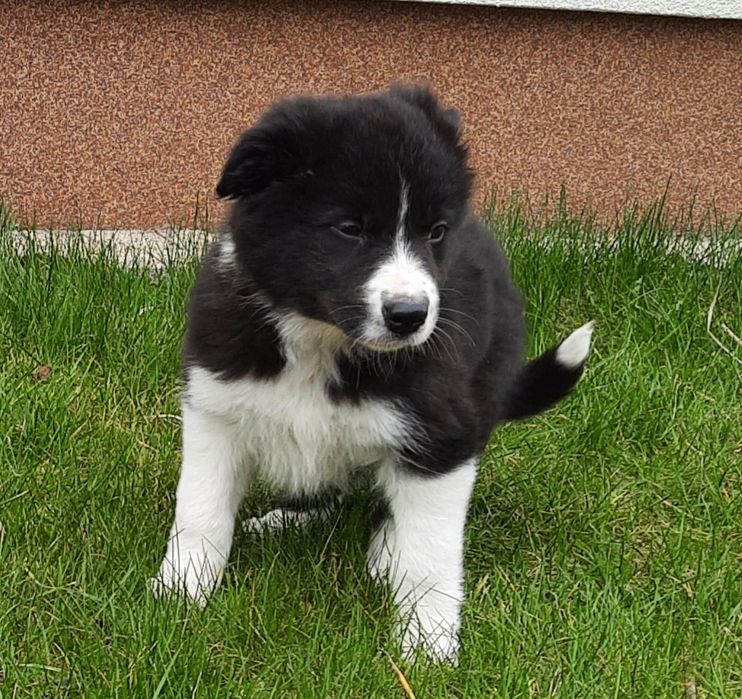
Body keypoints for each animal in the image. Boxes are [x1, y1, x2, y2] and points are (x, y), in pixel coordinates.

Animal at [154, 85, 596, 664]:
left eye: (435, 232)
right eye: (349, 229)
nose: (410, 315)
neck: (323, 341)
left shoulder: (443, 431)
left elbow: (431, 553)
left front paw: (427, 647)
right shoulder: (215, 406)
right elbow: (200, 509)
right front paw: (179, 597)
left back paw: (387, 549)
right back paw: (289, 518)